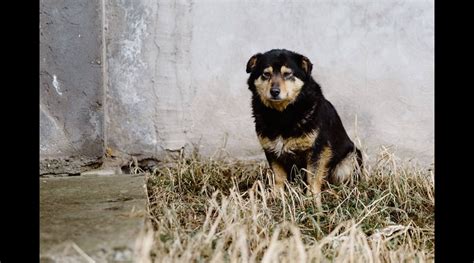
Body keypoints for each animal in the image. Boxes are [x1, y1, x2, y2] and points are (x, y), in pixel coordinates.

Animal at [244, 49, 362, 209]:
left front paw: (312, 202)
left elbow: (313, 178)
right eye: (266, 74)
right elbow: (279, 177)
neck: (282, 114)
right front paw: (276, 197)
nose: (274, 91)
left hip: (350, 159)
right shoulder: (271, 150)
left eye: (287, 74)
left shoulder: (318, 150)